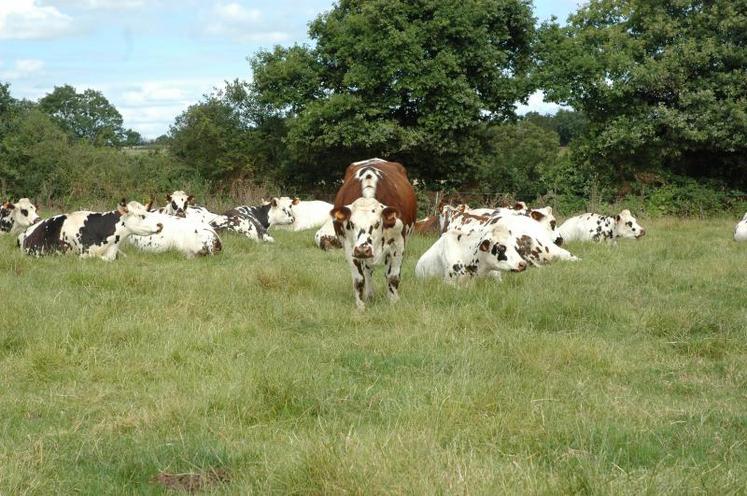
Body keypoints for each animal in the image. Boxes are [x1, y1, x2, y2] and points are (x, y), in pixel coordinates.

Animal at [330, 158, 418, 310]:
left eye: (377, 223)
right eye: (351, 223)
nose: (363, 249)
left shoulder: (398, 244)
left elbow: (393, 277)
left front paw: (394, 302)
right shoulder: (350, 248)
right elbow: (359, 280)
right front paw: (360, 306)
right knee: (368, 272)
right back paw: (369, 295)